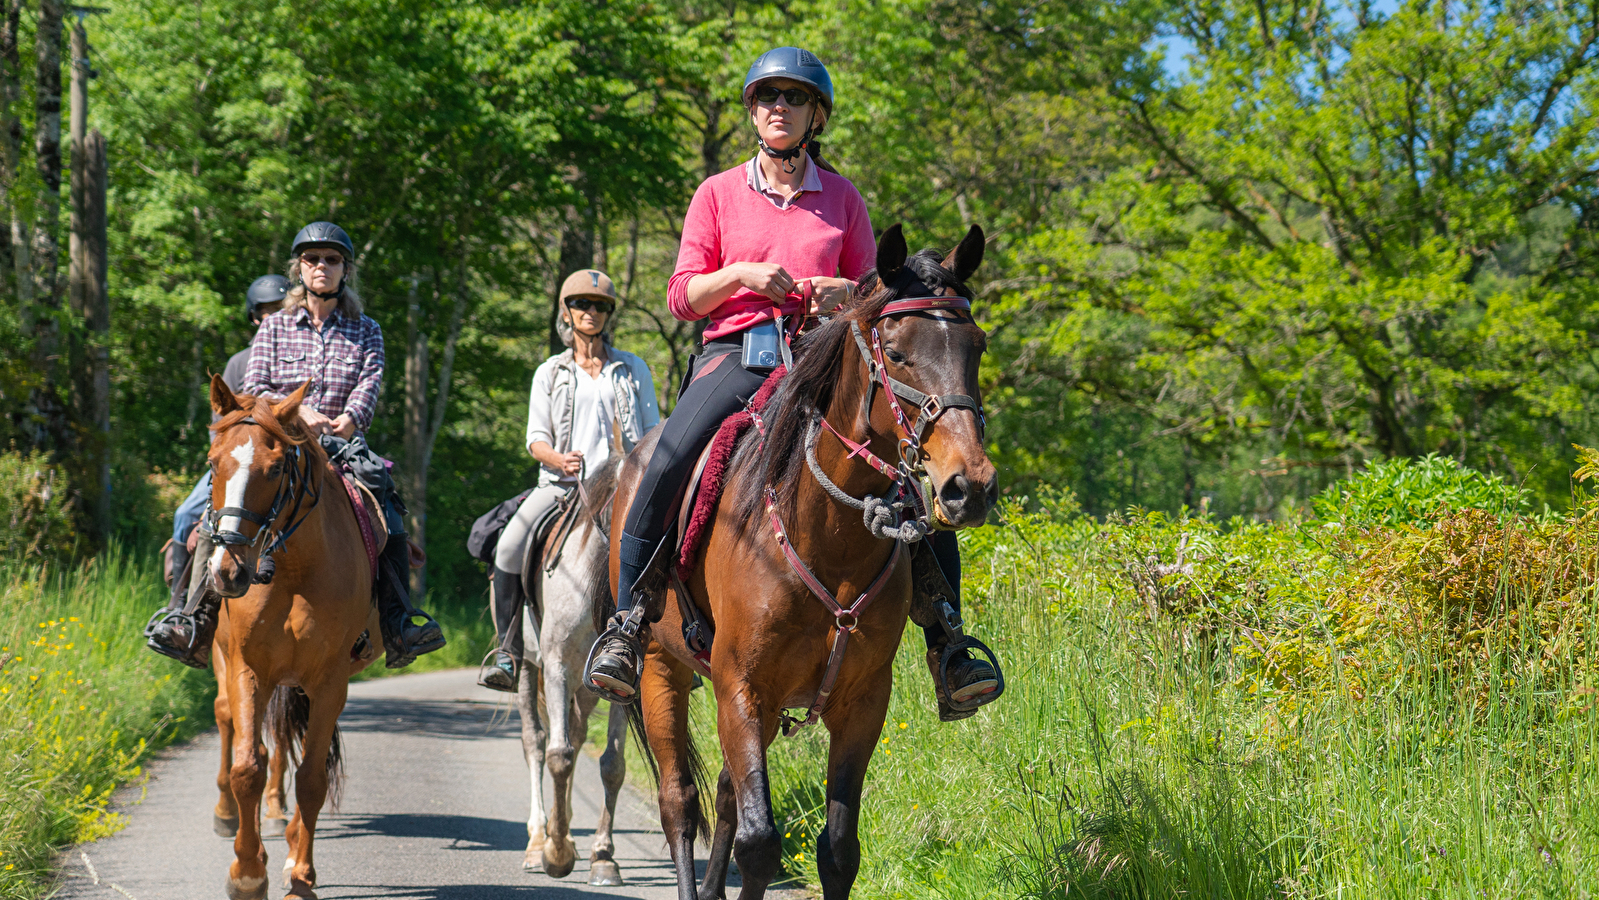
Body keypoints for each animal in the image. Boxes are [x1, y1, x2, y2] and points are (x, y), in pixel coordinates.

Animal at [203, 378, 380, 900]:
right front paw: (246, 873)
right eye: (212, 462)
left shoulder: (329, 682)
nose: (228, 571)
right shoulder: (248, 668)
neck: (294, 568)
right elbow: (247, 767)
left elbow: (312, 781)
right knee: (232, 723)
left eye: (277, 467)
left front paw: (300, 874)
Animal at [518, 457, 630, 888]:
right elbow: (558, 756)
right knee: (536, 743)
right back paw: (539, 841)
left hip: (583, 690)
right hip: (527, 668)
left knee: (577, 737)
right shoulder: (557, 666)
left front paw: (604, 856)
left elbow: (612, 764)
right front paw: (556, 855)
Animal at [604, 225, 991, 900]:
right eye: (896, 352)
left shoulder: (862, 701)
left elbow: (836, 851)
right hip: (659, 669)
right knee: (680, 803)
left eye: (977, 346)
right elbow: (759, 844)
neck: (826, 536)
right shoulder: (741, 686)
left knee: (725, 797)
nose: (970, 486)